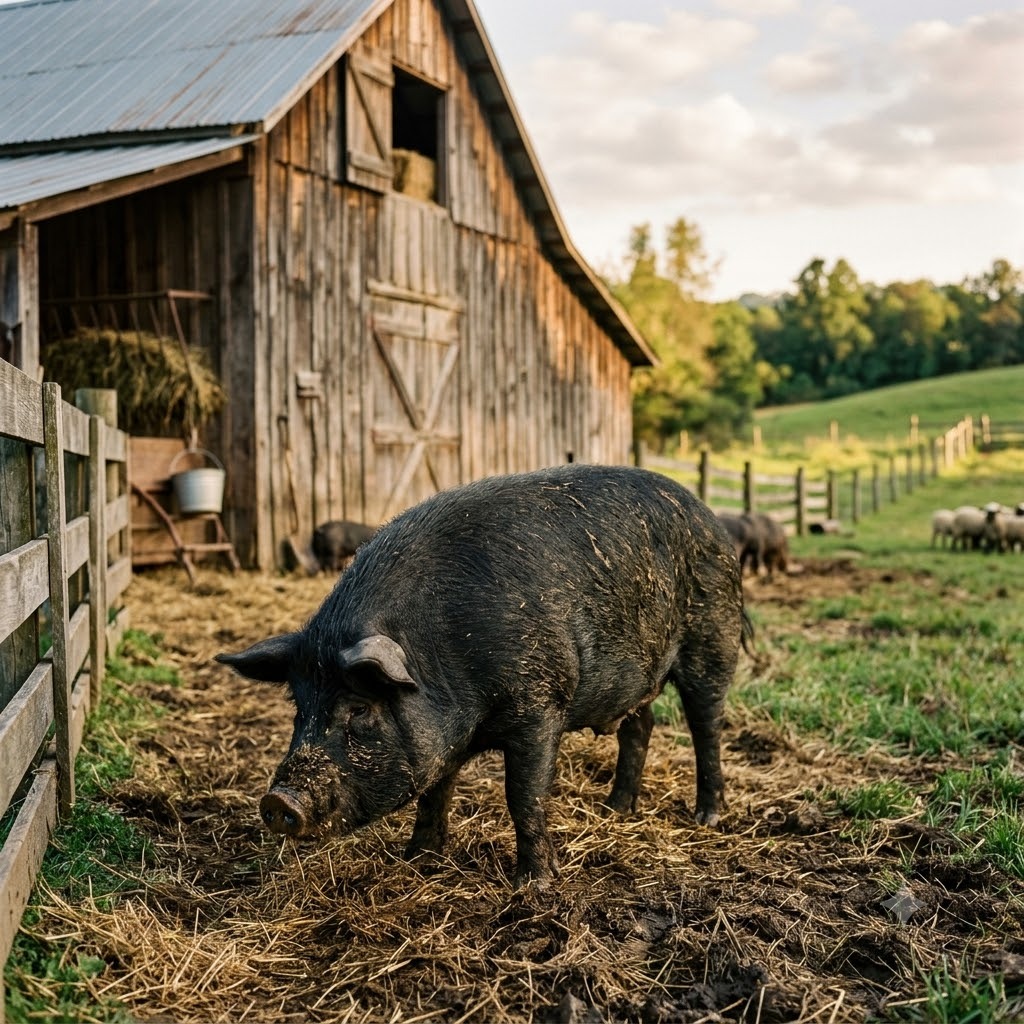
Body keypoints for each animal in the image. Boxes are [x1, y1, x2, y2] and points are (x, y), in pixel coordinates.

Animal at [217, 465, 753, 888]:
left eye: (360, 709)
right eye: (299, 708)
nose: (278, 800)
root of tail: (711, 519)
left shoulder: (539, 706)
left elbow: (524, 795)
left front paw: (535, 885)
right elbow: (435, 792)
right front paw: (418, 860)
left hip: (713, 637)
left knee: (706, 725)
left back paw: (707, 816)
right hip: (636, 680)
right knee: (640, 727)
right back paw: (614, 810)